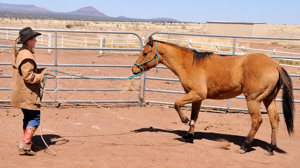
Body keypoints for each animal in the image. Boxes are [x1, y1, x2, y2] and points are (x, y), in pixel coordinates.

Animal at [132, 36, 294, 155]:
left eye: (145, 53)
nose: (134, 69)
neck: (190, 64)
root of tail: (276, 65)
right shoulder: (197, 98)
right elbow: (194, 117)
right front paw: (189, 136)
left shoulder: (196, 94)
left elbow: (177, 104)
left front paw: (184, 120)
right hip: (268, 99)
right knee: (274, 120)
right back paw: (271, 149)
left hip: (253, 100)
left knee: (257, 121)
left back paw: (244, 147)